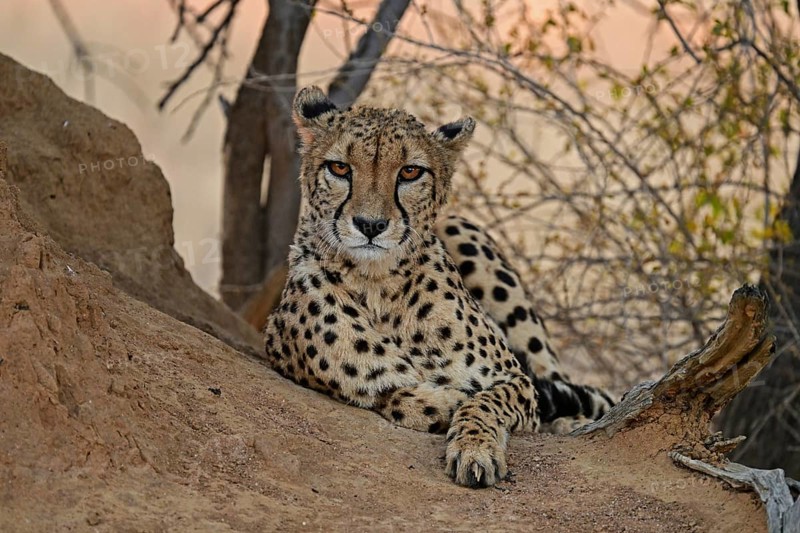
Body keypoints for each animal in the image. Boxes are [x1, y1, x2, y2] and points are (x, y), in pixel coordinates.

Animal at [263, 86, 615, 488]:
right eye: (339, 168)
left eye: (410, 172)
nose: (370, 225)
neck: (379, 285)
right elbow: (395, 393)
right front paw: (439, 402)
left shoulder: (515, 380)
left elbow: (485, 402)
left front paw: (475, 450)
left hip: (461, 230)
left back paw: (571, 421)